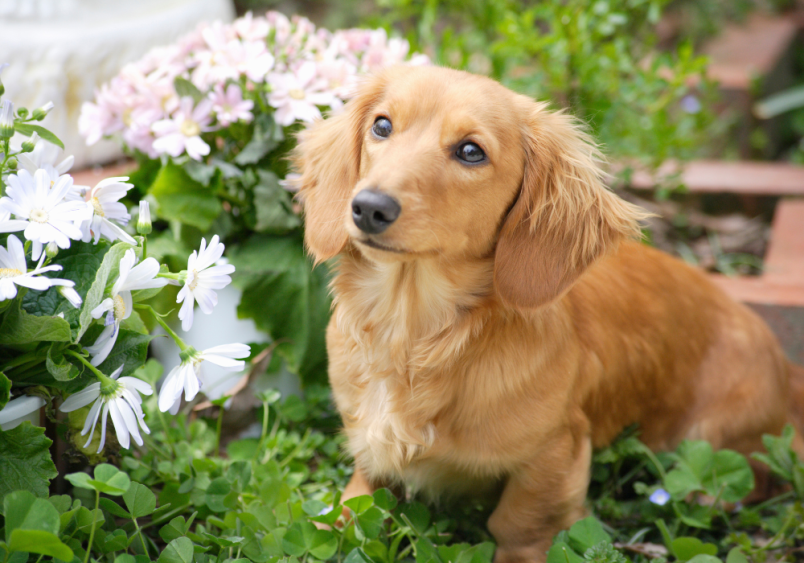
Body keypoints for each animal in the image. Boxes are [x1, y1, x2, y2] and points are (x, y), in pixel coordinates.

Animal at [294, 67, 804, 563]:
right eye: (382, 126)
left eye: (470, 151)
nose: (368, 208)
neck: (415, 335)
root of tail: (785, 368)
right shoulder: (366, 449)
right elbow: (353, 503)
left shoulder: (555, 453)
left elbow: (520, 525)